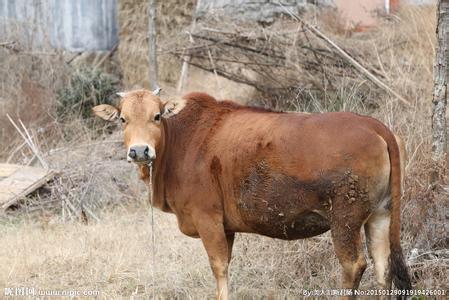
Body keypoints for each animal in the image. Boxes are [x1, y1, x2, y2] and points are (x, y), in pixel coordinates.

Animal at [93, 89, 412, 300]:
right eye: (123, 119)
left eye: (157, 116)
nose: (139, 151)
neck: (183, 139)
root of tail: (372, 124)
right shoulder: (226, 227)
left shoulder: (207, 218)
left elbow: (219, 268)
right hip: (379, 215)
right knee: (383, 267)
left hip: (345, 219)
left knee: (354, 265)